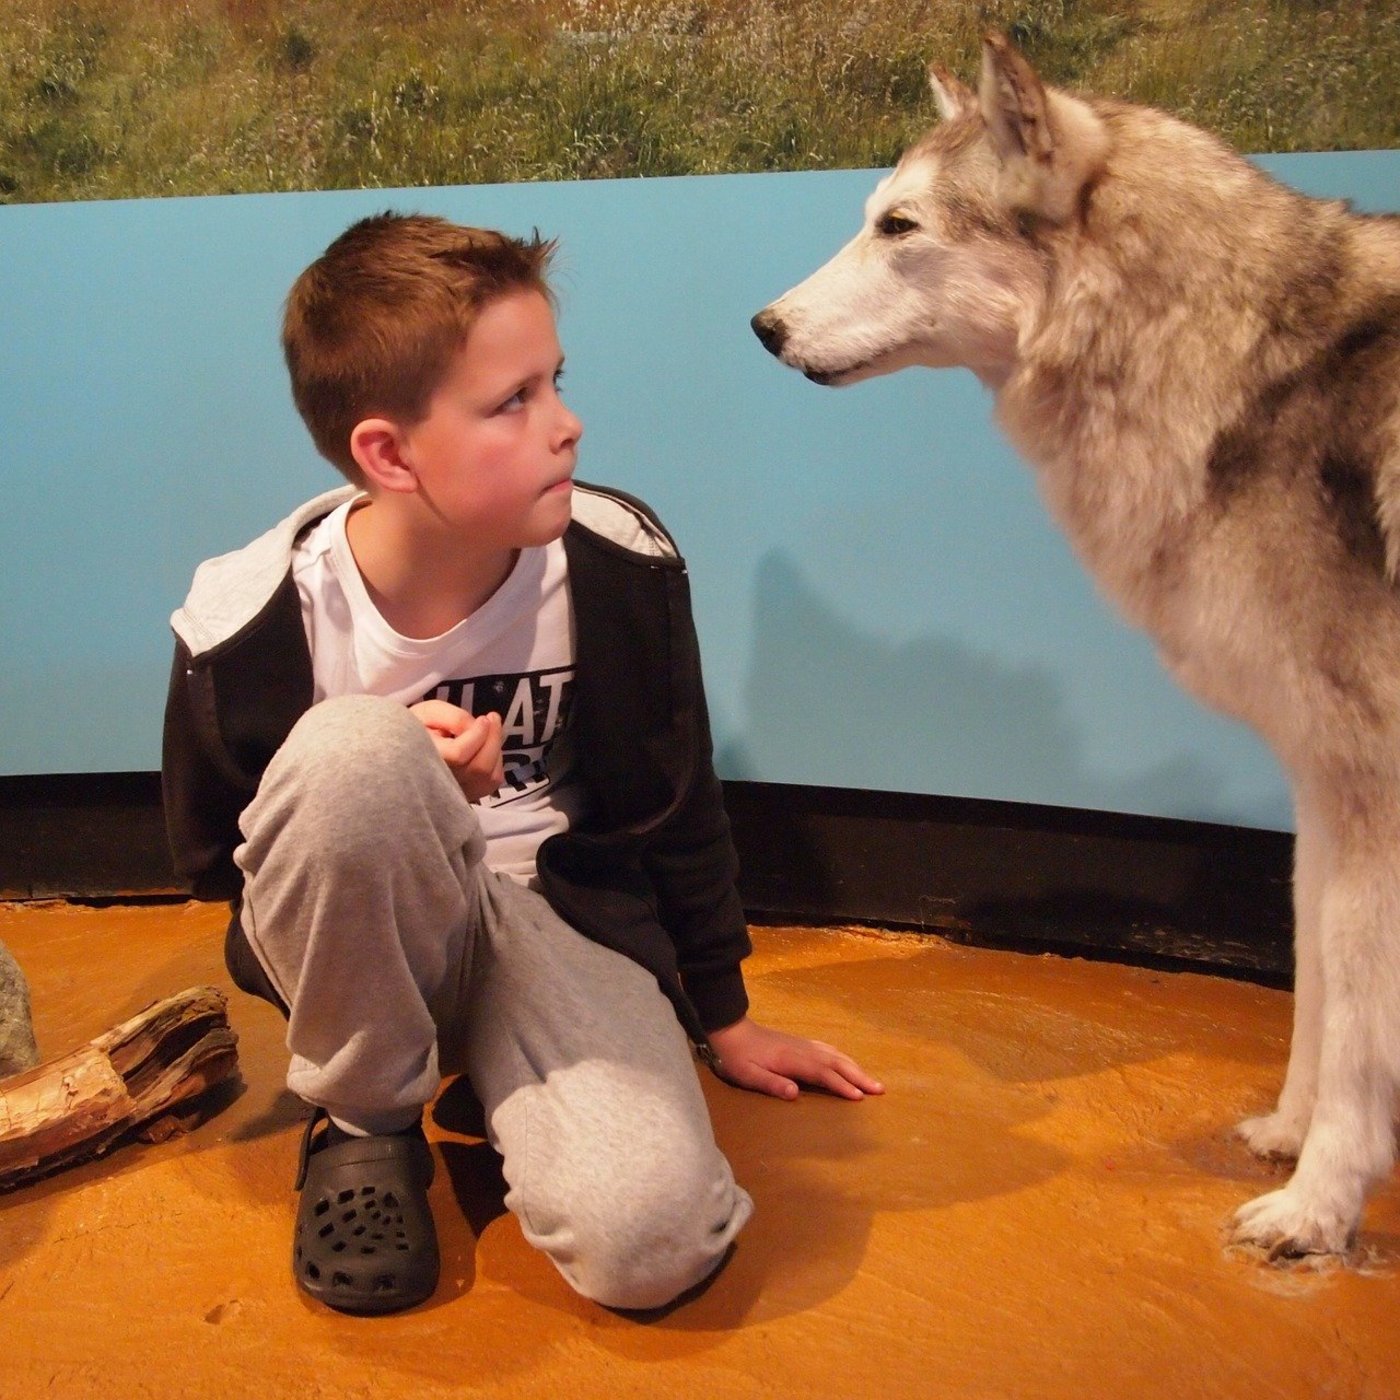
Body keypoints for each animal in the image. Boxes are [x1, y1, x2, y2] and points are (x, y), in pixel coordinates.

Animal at [752, 31, 1400, 1260]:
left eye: (897, 225)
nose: (761, 326)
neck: (1247, 362)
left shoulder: (1364, 782)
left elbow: (1356, 1016)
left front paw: (1317, 1206)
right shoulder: (1320, 775)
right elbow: (1316, 977)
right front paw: (1288, 1137)